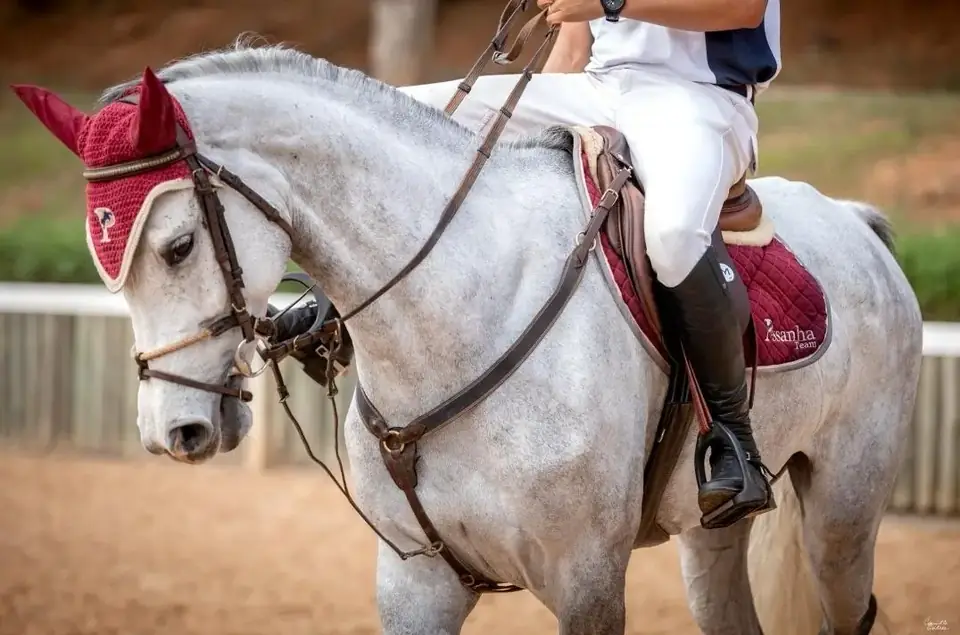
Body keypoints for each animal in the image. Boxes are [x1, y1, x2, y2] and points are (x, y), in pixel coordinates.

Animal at [13, 37, 922, 635]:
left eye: (176, 246)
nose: (177, 431)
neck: (456, 316)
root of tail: (858, 221)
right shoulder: (414, 582)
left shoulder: (587, 581)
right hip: (713, 535)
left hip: (841, 514)